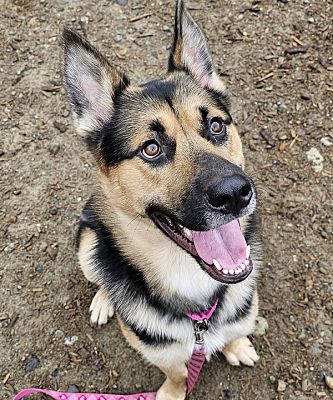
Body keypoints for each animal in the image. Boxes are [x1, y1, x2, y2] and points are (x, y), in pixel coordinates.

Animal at [61, 1, 260, 398]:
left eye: (216, 126)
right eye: (151, 148)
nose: (235, 194)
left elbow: (236, 331)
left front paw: (236, 345)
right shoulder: (159, 351)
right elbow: (177, 371)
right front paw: (173, 390)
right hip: (87, 243)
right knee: (100, 270)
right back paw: (105, 299)